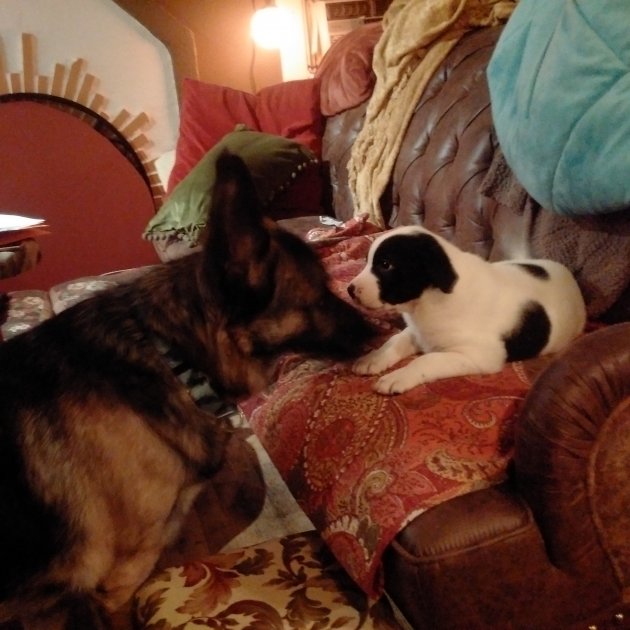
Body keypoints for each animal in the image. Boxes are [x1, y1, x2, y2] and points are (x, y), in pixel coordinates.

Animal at [347, 225, 586, 395]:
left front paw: (398, 376)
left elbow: (427, 359)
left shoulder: (478, 356)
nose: (349, 289)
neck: (428, 301)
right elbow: (394, 340)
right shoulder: (419, 332)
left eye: (385, 265)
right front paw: (374, 358)